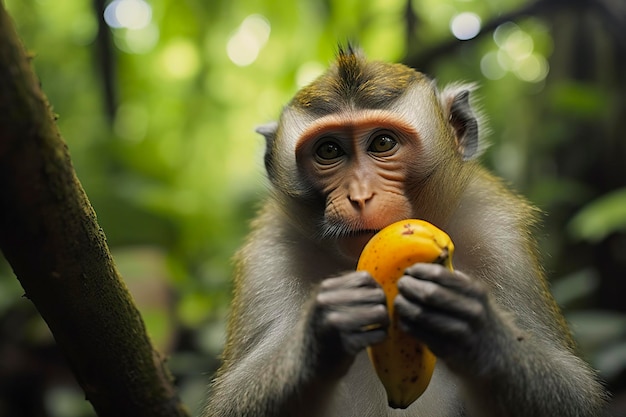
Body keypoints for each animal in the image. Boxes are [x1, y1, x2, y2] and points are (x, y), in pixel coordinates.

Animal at [202, 46, 608, 416]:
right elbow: (230, 402)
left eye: (383, 143)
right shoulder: (268, 256)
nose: (360, 196)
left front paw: (479, 331)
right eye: (329, 150)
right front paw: (320, 335)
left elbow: (575, 391)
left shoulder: (496, 233)